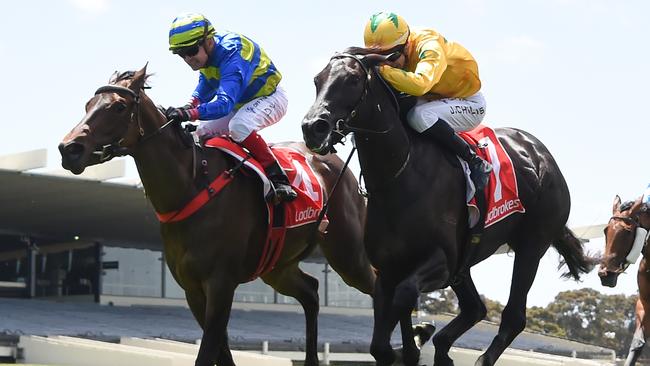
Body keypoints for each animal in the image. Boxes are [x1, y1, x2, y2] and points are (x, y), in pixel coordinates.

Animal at [61, 66, 378, 366]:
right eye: (88, 104)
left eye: (118, 106)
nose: (69, 149)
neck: (193, 185)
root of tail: (332, 159)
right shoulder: (192, 288)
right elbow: (222, 352)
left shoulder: (221, 283)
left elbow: (208, 352)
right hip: (278, 266)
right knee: (311, 292)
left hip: (347, 253)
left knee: (377, 285)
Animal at [298, 48, 592, 366]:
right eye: (317, 80)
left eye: (352, 80)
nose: (313, 128)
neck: (401, 175)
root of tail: (540, 154)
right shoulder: (388, 269)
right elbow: (380, 343)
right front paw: (412, 344)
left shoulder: (441, 261)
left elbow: (405, 297)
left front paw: (416, 340)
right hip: (467, 262)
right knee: (475, 308)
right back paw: (442, 347)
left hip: (531, 246)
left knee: (513, 316)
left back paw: (478, 357)